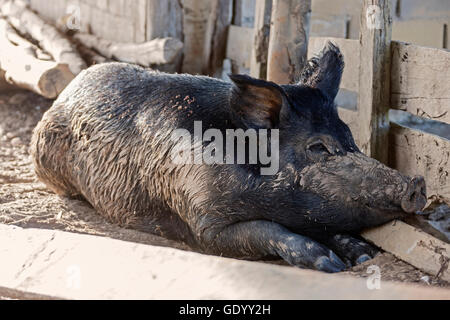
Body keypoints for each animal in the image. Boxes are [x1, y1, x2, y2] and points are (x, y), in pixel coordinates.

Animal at [30, 43, 426, 272]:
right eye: (319, 148)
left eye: (351, 140)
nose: (417, 183)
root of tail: (66, 91)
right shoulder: (201, 219)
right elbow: (265, 229)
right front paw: (330, 266)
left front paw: (364, 256)